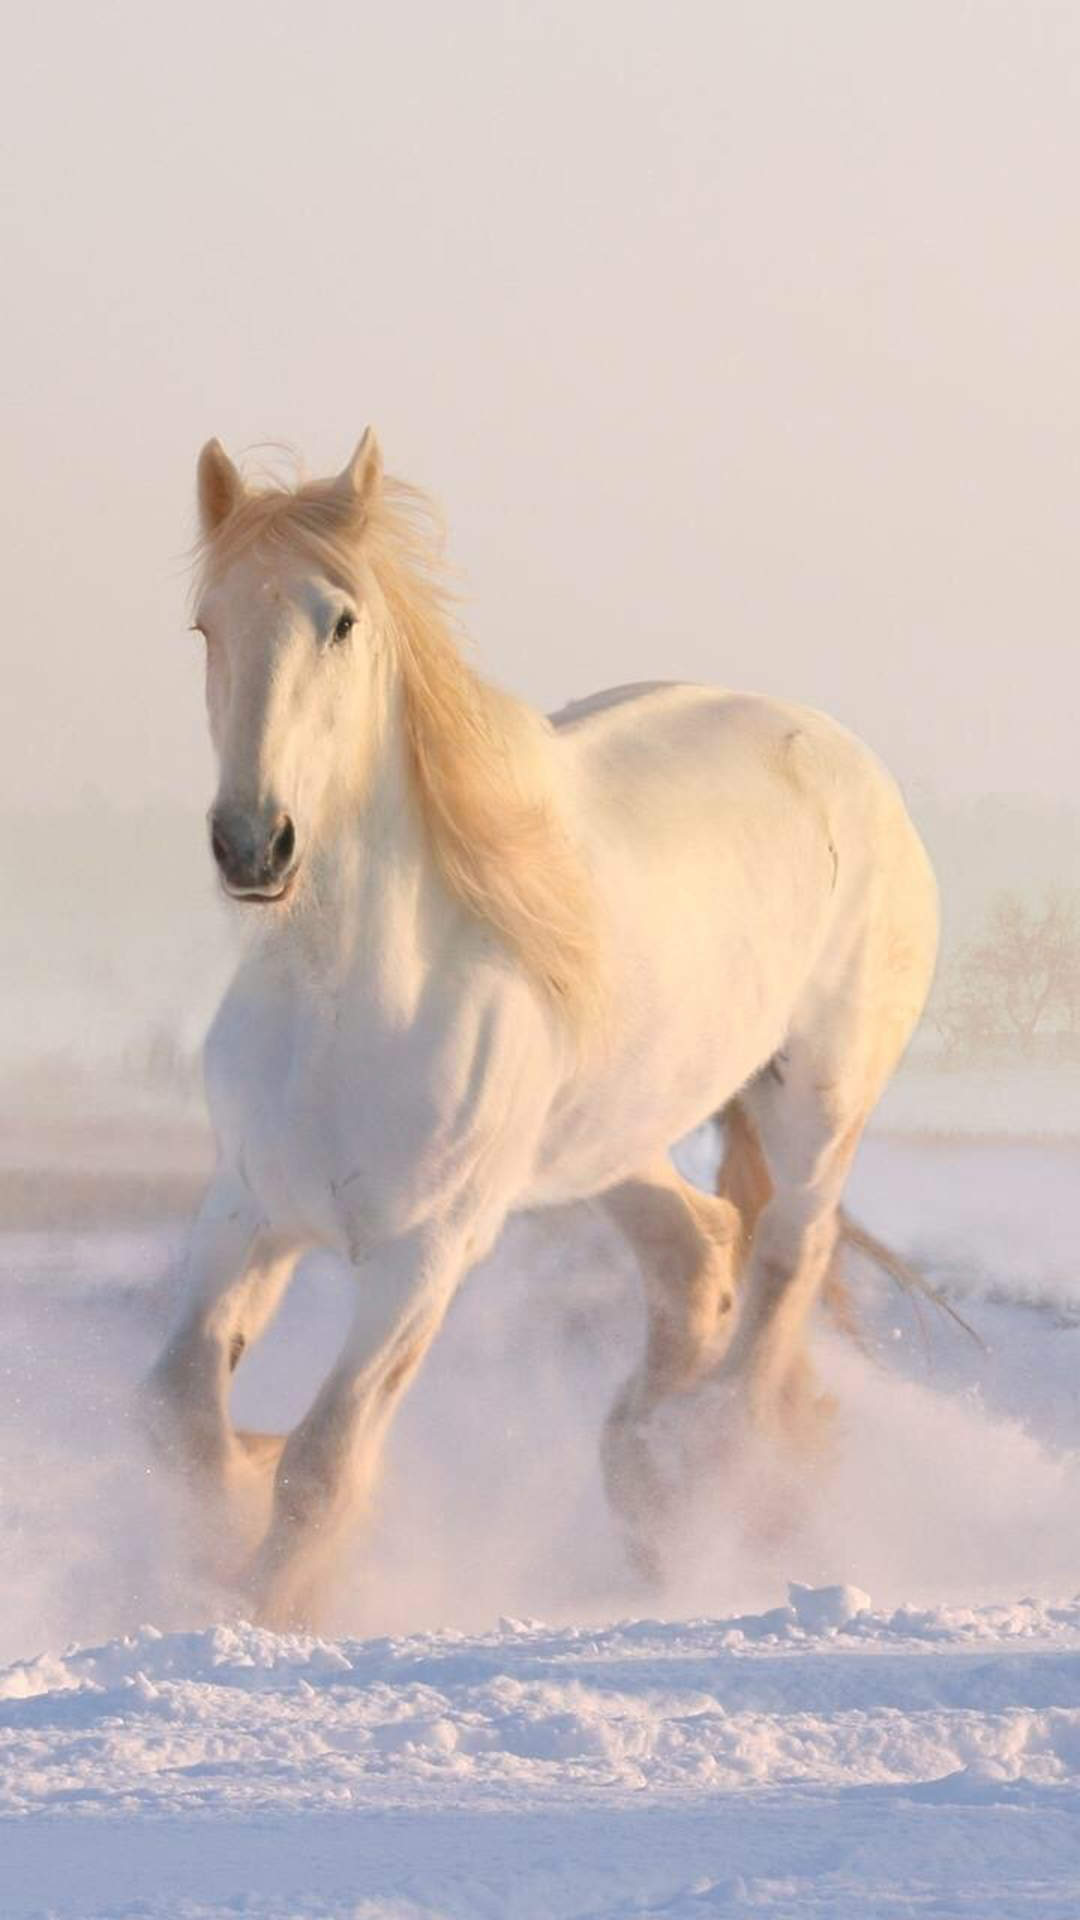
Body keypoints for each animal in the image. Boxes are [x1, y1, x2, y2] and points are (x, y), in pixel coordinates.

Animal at [147, 431, 939, 1629]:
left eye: (341, 621)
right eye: (207, 624)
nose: (253, 844)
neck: (347, 1008)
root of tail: (849, 761)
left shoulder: (424, 1255)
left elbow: (324, 1464)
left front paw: (267, 1609)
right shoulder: (245, 1209)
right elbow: (182, 1417)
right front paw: (221, 1528)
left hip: (817, 1100)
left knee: (785, 1260)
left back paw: (711, 1473)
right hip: (606, 1143)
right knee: (698, 1249)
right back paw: (647, 1478)